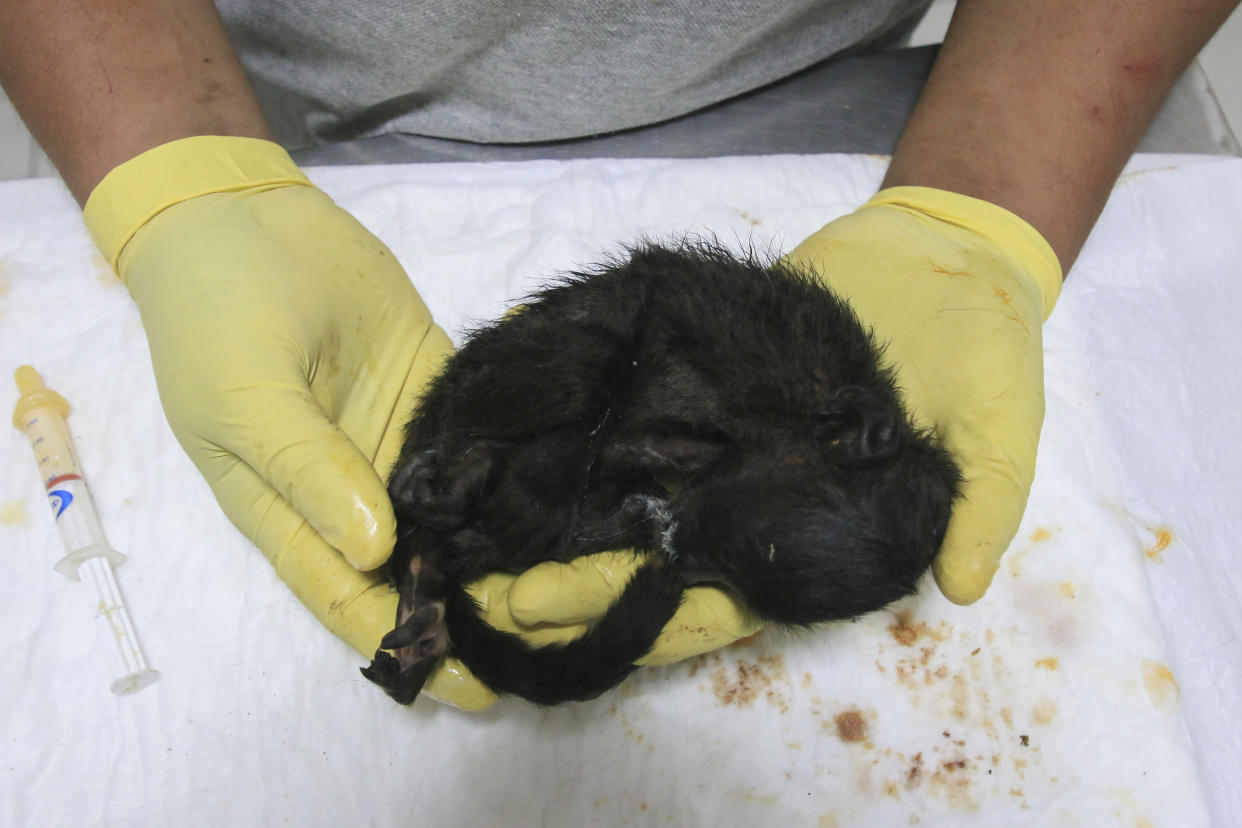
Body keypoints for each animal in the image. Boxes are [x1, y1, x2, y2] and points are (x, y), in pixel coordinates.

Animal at [360, 240, 958, 705]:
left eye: (719, 575)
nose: (673, 556)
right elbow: (632, 323)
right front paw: (541, 486)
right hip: (484, 386)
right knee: (587, 357)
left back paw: (426, 598)